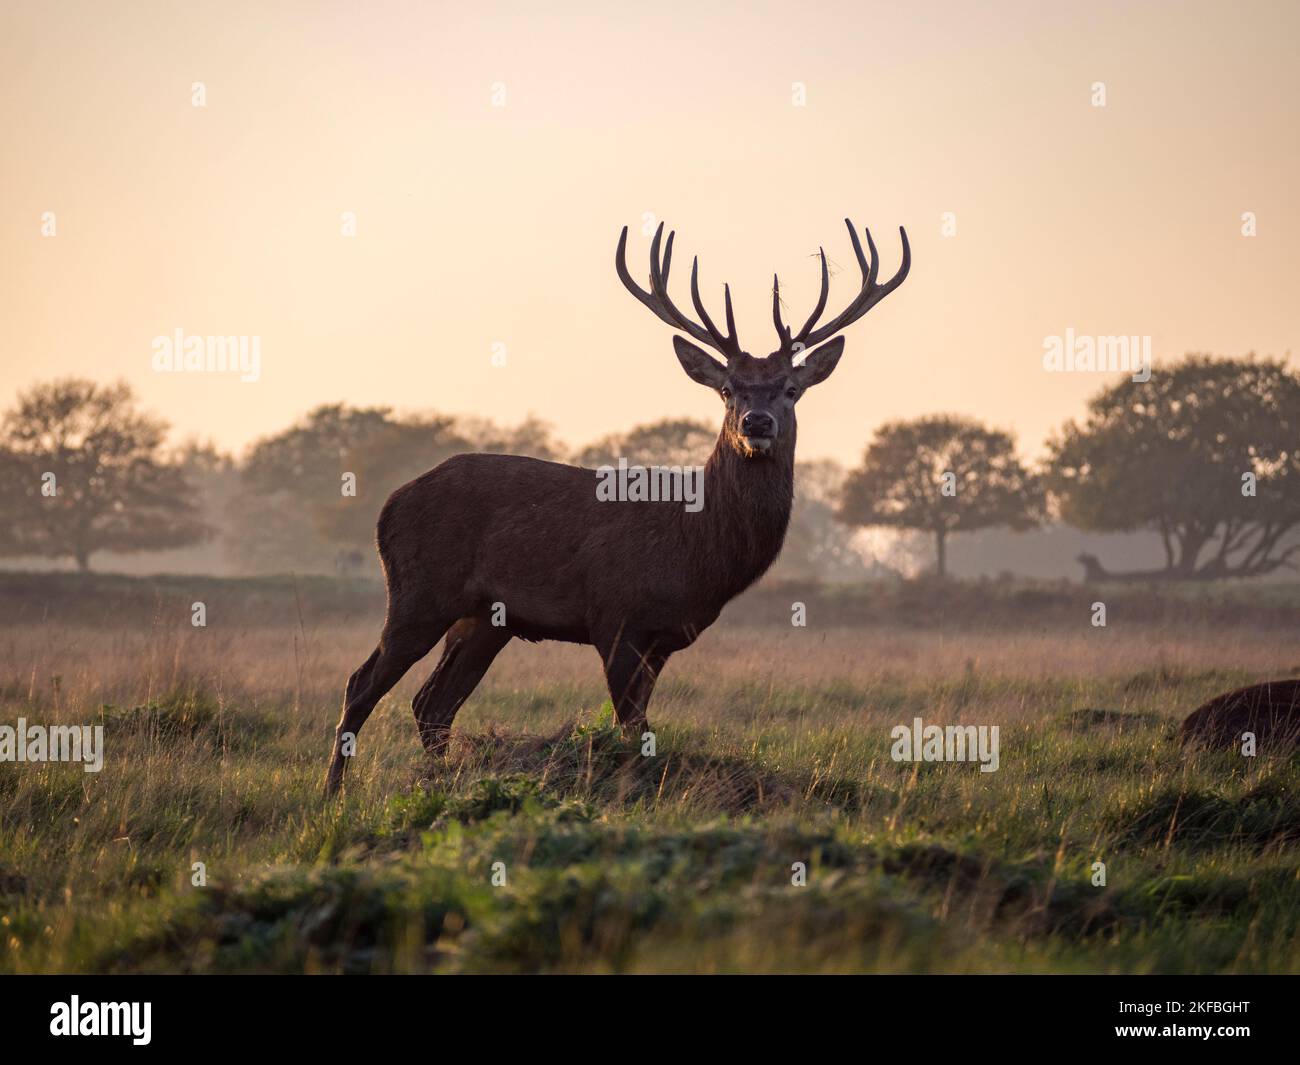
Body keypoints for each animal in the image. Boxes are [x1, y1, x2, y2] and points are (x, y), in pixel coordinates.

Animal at [325, 218, 910, 794]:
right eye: (727, 389)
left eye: (791, 388)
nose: (756, 422)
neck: (696, 546)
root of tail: (389, 505)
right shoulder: (614, 616)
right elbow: (632, 730)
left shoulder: (663, 638)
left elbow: (634, 729)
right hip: (419, 593)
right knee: (362, 684)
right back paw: (333, 794)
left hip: (485, 617)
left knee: (432, 703)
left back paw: (434, 783)